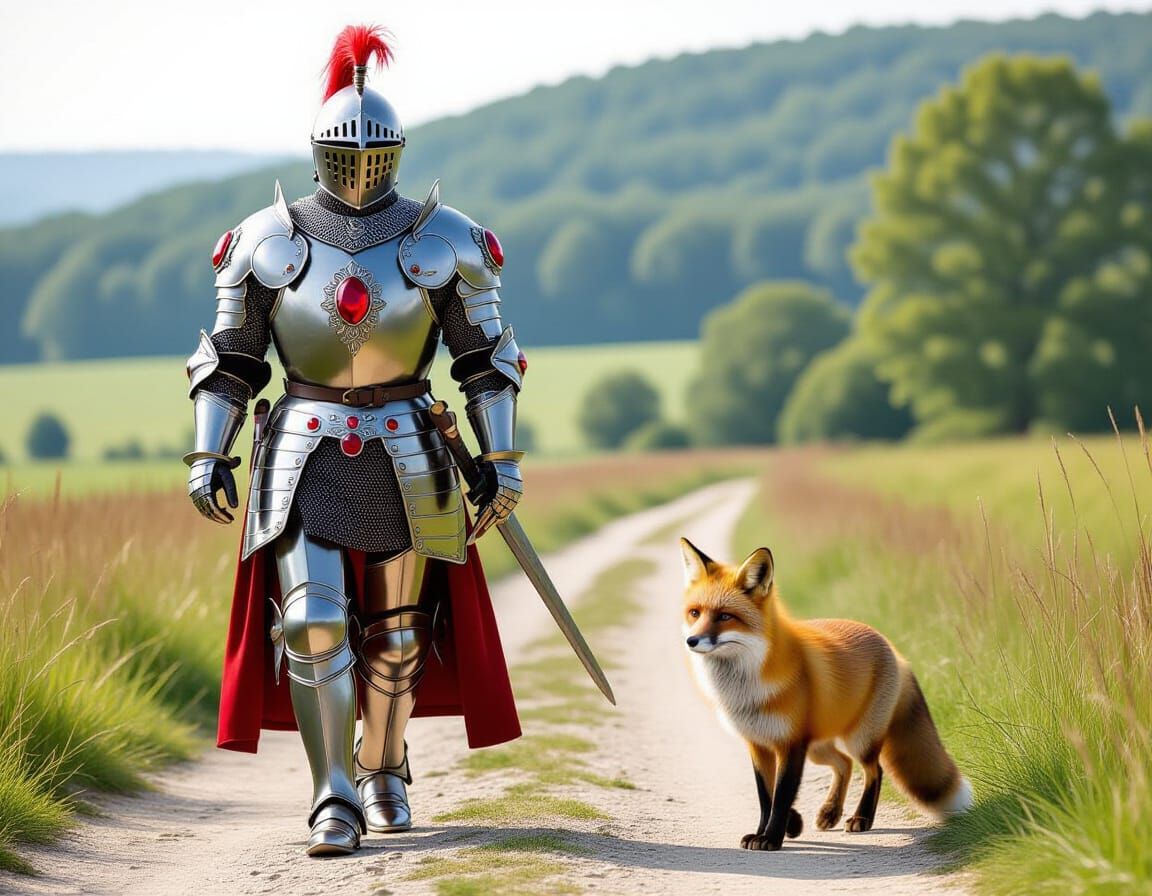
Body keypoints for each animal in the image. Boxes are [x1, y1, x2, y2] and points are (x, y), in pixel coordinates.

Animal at [679, 537, 973, 851]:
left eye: (725, 616)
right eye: (695, 613)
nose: (691, 640)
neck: (746, 690)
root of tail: (891, 647)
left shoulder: (791, 743)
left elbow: (781, 796)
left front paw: (772, 837)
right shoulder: (758, 744)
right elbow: (766, 797)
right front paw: (780, 827)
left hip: (860, 739)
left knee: (874, 770)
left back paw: (861, 818)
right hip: (819, 747)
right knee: (844, 763)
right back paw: (830, 812)